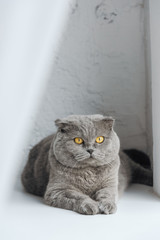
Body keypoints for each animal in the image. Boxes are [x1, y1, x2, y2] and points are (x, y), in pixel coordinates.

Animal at [21, 115, 152, 215]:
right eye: (78, 140)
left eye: (100, 139)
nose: (90, 150)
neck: (89, 173)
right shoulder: (57, 190)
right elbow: (78, 196)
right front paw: (90, 206)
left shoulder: (110, 183)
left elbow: (107, 194)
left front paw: (107, 206)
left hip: (128, 165)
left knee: (141, 171)